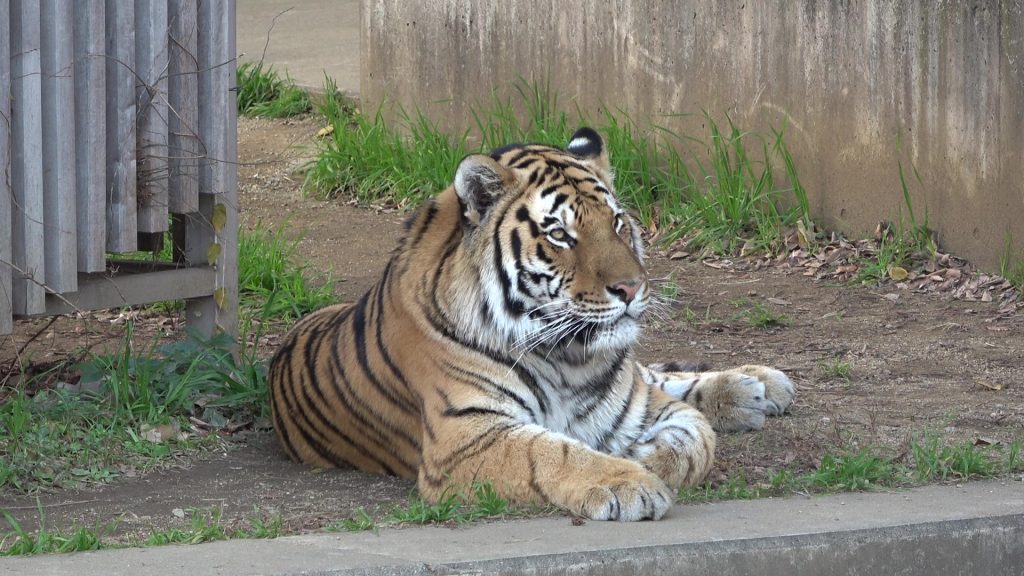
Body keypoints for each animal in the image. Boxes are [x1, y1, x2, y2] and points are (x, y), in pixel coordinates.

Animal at [268, 126, 794, 520]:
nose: (630, 289)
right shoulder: (465, 436)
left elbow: (696, 437)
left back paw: (758, 385)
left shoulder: (642, 405)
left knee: (657, 373)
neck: (569, 358)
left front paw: (643, 459)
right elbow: (551, 453)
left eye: (617, 223)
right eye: (560, 234)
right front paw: (628, 480)